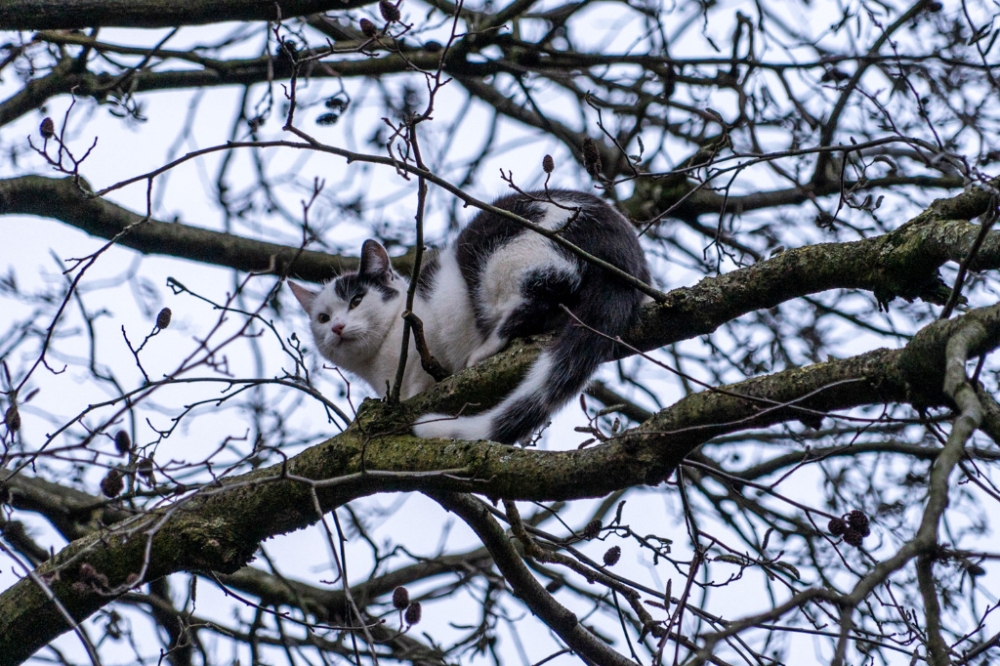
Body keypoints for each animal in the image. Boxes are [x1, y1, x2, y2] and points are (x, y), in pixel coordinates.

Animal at [290, 189, 648, 444]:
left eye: (357, 300)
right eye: (322, 318)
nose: (337, 327)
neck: (378, 364)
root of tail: (624, 255)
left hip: (508, 253)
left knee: (548, 289)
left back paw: (488, 347)